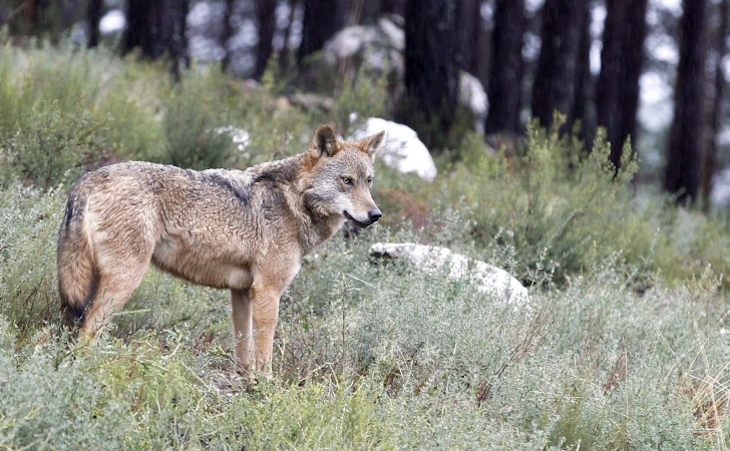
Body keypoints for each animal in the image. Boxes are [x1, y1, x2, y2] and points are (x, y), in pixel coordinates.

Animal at [57, 125, 384, 376]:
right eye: (346, 181)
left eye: (368, 182)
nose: (375, 214)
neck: (293, 201)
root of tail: (88, 178)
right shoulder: (267, 292)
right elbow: (264, 353)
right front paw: (267, 389)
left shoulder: (242, 293)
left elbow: (244, 351)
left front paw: (246, 384)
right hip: (122, 283)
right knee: (87, 333)